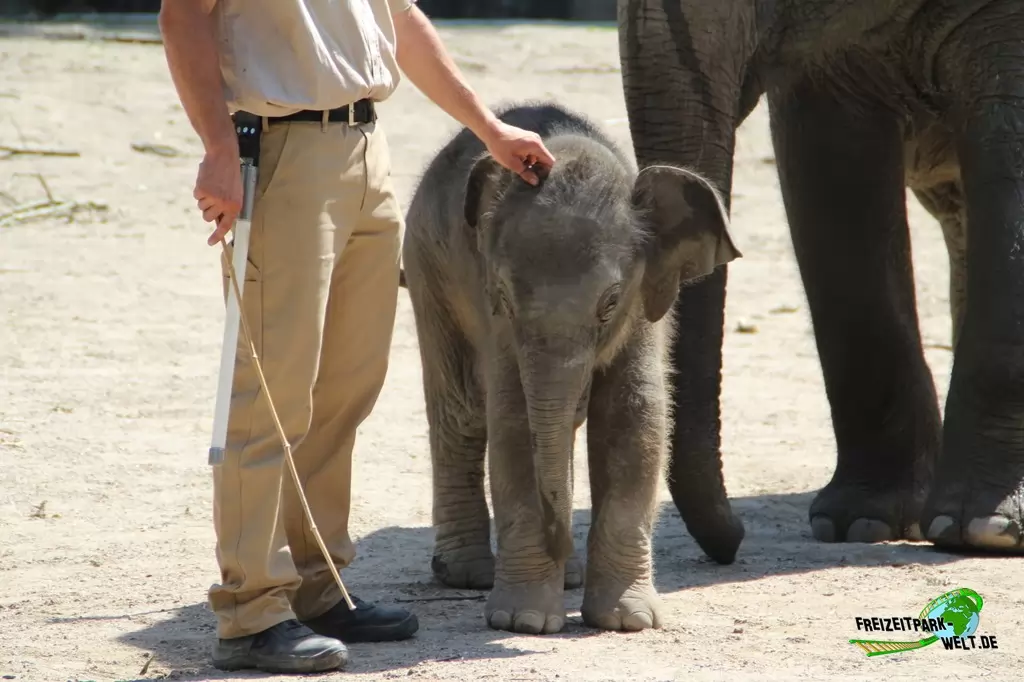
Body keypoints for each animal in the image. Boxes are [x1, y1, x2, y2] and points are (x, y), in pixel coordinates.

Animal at [398, 101, 740, 633]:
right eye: (503, 297)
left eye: (611, 302)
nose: (557, 539)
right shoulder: (499, 325)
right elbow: (514, 425)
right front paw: (523, 622)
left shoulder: (644, 309)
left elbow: (635, 420)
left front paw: (626, 621)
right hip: (426, 266)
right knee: (461, 414)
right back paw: (470, 574)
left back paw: (569, 575)